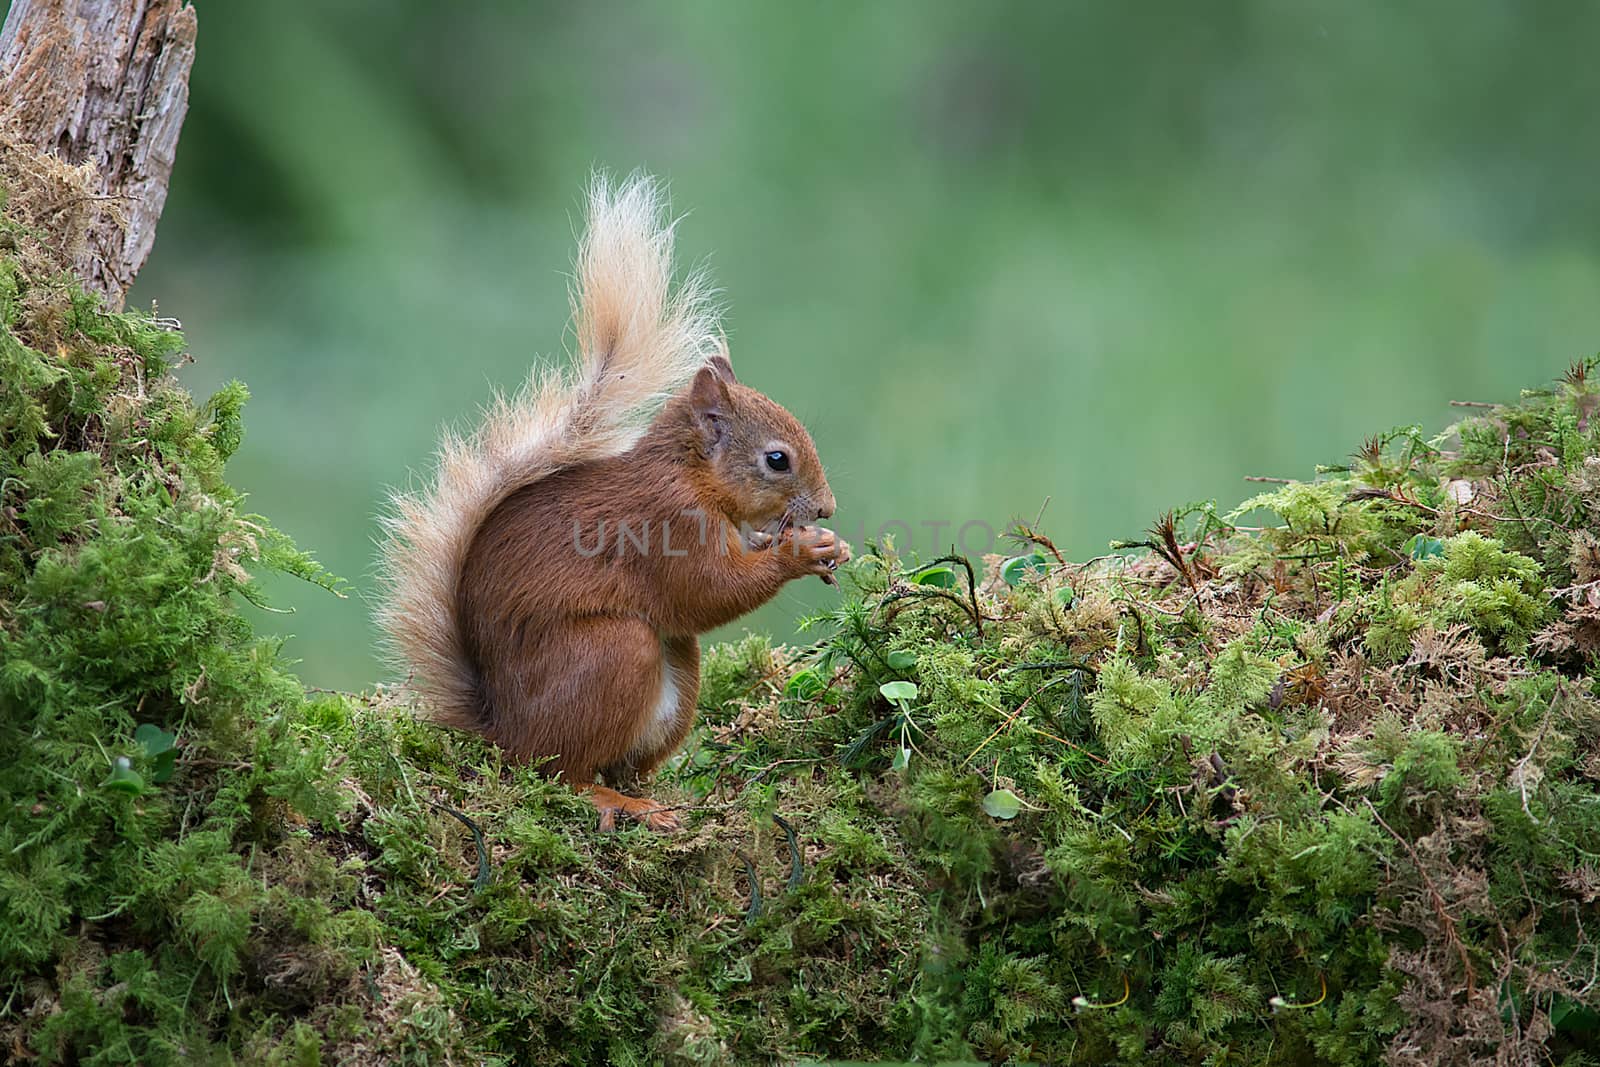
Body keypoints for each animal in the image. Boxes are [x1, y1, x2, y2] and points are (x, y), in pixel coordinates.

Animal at [377, 175, 851, 831]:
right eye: (777, 460)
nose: (826, 509)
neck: (691, 476)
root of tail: (501, 731)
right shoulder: (666, 524)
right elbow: (709, 591)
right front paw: (798, 553)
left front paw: (825, 545)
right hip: (611, 654)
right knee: (559, 772)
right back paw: (614, 802)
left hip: (676, 676)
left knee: (622, 761)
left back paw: (655, 798)